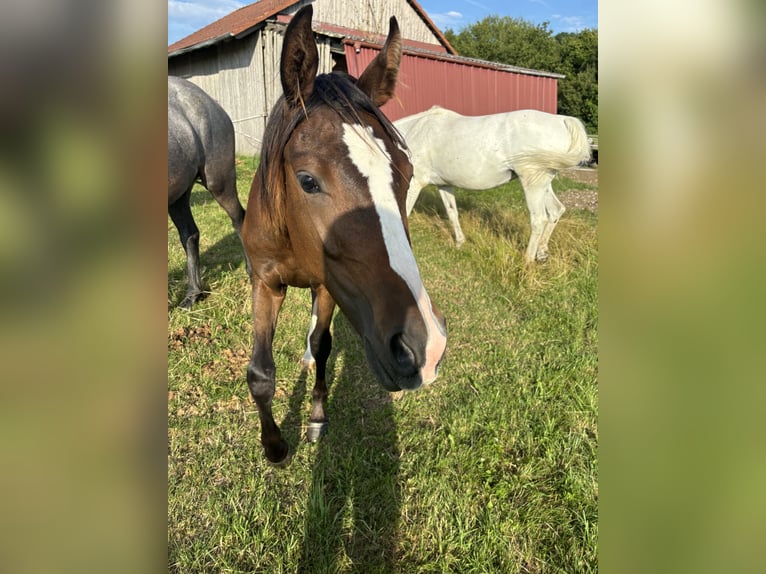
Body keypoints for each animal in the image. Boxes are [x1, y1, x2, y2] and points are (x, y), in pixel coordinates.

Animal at [238, 6, 444, 466]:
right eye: (307, 180)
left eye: (406, 174)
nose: (426, 346)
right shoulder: (264, 281)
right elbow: (260, 371)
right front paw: (274, 447)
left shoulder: (327, 284)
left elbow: (323, 345)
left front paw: (315, 417)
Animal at [396, 106, 592, 264]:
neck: (416, 131)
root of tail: (561, 120)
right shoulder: (444, 185)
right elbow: (452, 213)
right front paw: (460, 243)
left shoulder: (415, 182)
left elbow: (404, 212)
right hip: (544, 183)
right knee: (556, 211)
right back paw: (541, 253)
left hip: (532, 182)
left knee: (538, 220)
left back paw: (527, 261)